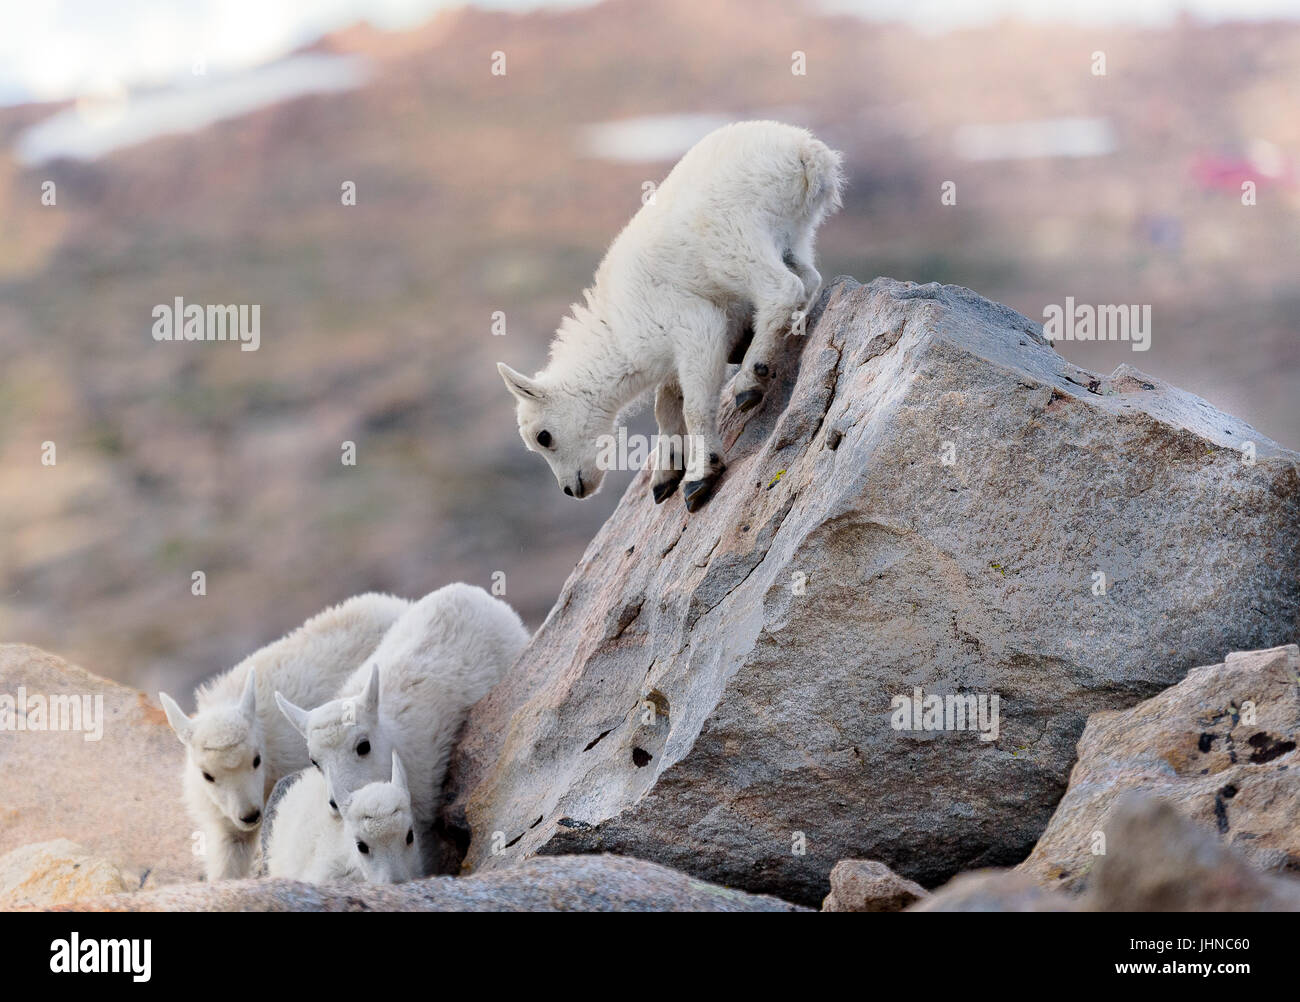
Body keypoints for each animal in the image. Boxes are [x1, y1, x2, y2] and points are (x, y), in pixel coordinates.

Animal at [276, 584, 525, 873]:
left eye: (363, 746)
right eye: (314, 761)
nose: (335, 805)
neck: (392, 739)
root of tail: (468, 590)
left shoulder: (420, 810)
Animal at [496, 121, 842, 514]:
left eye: (544, 436)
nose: (571, 489)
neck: (616, 332)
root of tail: (807, 153)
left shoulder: (695, 327)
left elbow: (693, 407)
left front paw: (699, 476)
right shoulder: (683, 348)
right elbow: (667, 405)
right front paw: (666, 474)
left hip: (734, 242)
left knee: (783, 289)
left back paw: (750, 378)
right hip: (792, 238)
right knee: (807, 278)